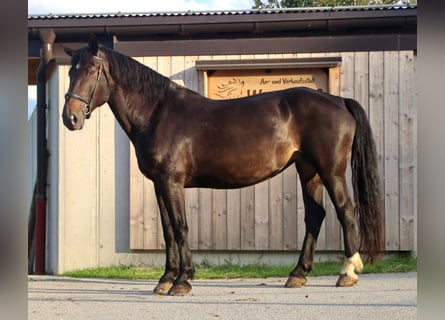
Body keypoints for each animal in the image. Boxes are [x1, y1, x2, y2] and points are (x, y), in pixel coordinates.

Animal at [60, 37, 384, 296]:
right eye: (70, 71)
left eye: (91, 70)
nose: (70, 118)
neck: (158, 113)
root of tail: (338, 100)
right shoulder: (159, 185)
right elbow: (167, 231)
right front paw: (165, 280)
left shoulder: (171, 182)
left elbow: (180, 227)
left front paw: (182, 281)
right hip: (309, 171)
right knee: (315, 216)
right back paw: (297, 274)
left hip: (331, 171)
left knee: (346, 211)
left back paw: (348, 271)